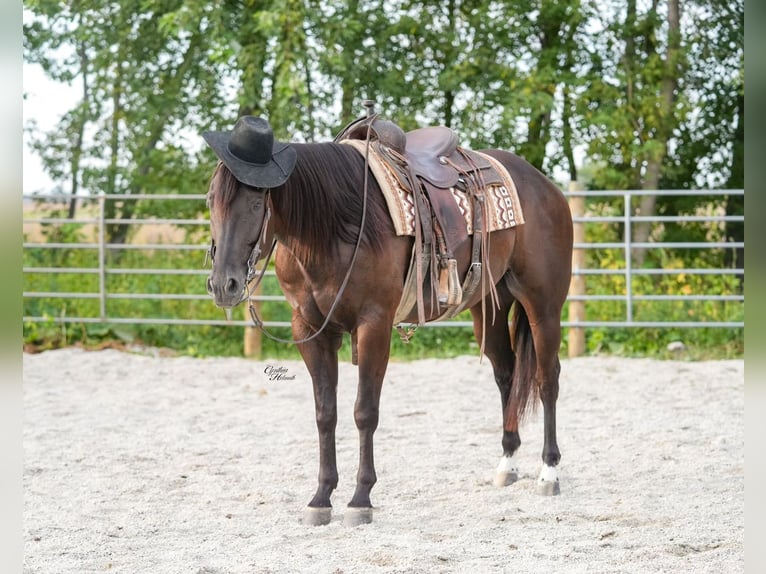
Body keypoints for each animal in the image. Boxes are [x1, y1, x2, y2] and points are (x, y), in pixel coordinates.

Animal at [203, 114, 573, 526]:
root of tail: (545, 186)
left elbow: (365, 412)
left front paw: (360, 498)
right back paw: (507, 463)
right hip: (489, 307)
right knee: (507, 374)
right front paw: (321, 497)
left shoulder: (374, 325)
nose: (223, 284)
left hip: (543, 305)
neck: (334, 226)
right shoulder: (311, 330)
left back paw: (549, 472)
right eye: (210, 199)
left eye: (255, 203)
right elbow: (325, 413)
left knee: (546, 379)